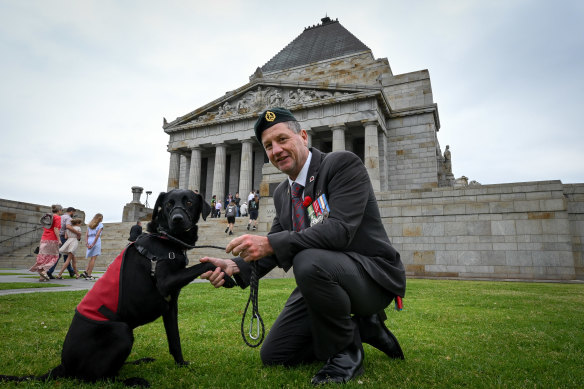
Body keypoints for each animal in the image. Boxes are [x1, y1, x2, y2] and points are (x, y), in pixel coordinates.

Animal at [0, 189, 233, 384]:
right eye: (168, 204)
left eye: (189, 202)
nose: (177, 219)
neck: (166, 238)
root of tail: (63, 366)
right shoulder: (166, 282)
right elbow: (206, 263)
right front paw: (227, 272)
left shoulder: (171, 305)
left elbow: (174, 340)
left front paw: (181, 364)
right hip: (121, 330)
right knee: (98, 378)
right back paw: (133, 380)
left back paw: (138, 363)